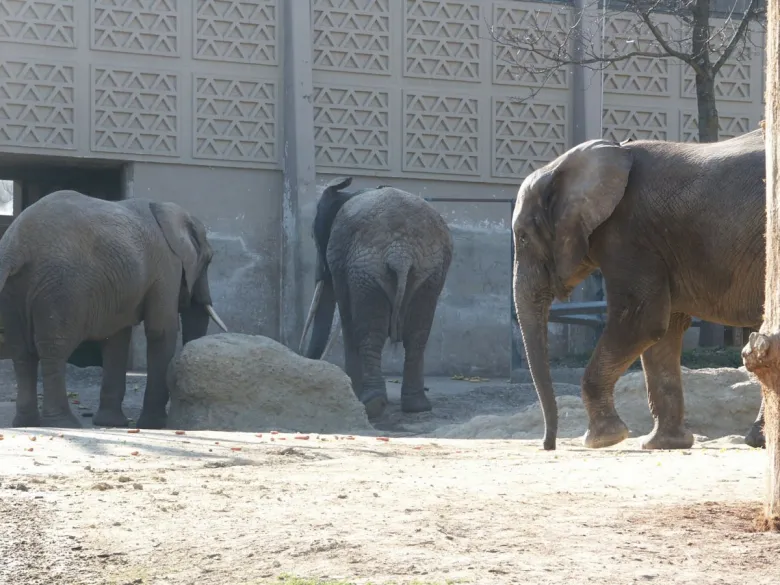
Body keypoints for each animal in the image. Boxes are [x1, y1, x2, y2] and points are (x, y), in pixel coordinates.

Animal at [0, 190, 227, 428]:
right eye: (208, 260)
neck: (169, 211)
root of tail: (15, 249)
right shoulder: (166, 265)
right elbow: (161, 331)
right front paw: (153, 425)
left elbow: (116, 338)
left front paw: (112, 423)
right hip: (60, 287)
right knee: (54, 350)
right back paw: (64, 424)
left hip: (14, 290)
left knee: (21, 353)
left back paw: (26, 423)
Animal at [300, 176, 458, 418]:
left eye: (313, 236)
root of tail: (401, 252)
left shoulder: (338, 255)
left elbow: (346, 318)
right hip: (430, 272)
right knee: (418, 335)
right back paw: (416, 407)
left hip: (367, 271)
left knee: (370, 334)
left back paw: (372, 405)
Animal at [512, 130, 768, 452]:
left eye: (523, 237)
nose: (549, 445)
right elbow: (664, 330)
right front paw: (664, 444)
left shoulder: (628, 234)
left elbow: (642, 321)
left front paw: (603, 439)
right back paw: (759, 440)